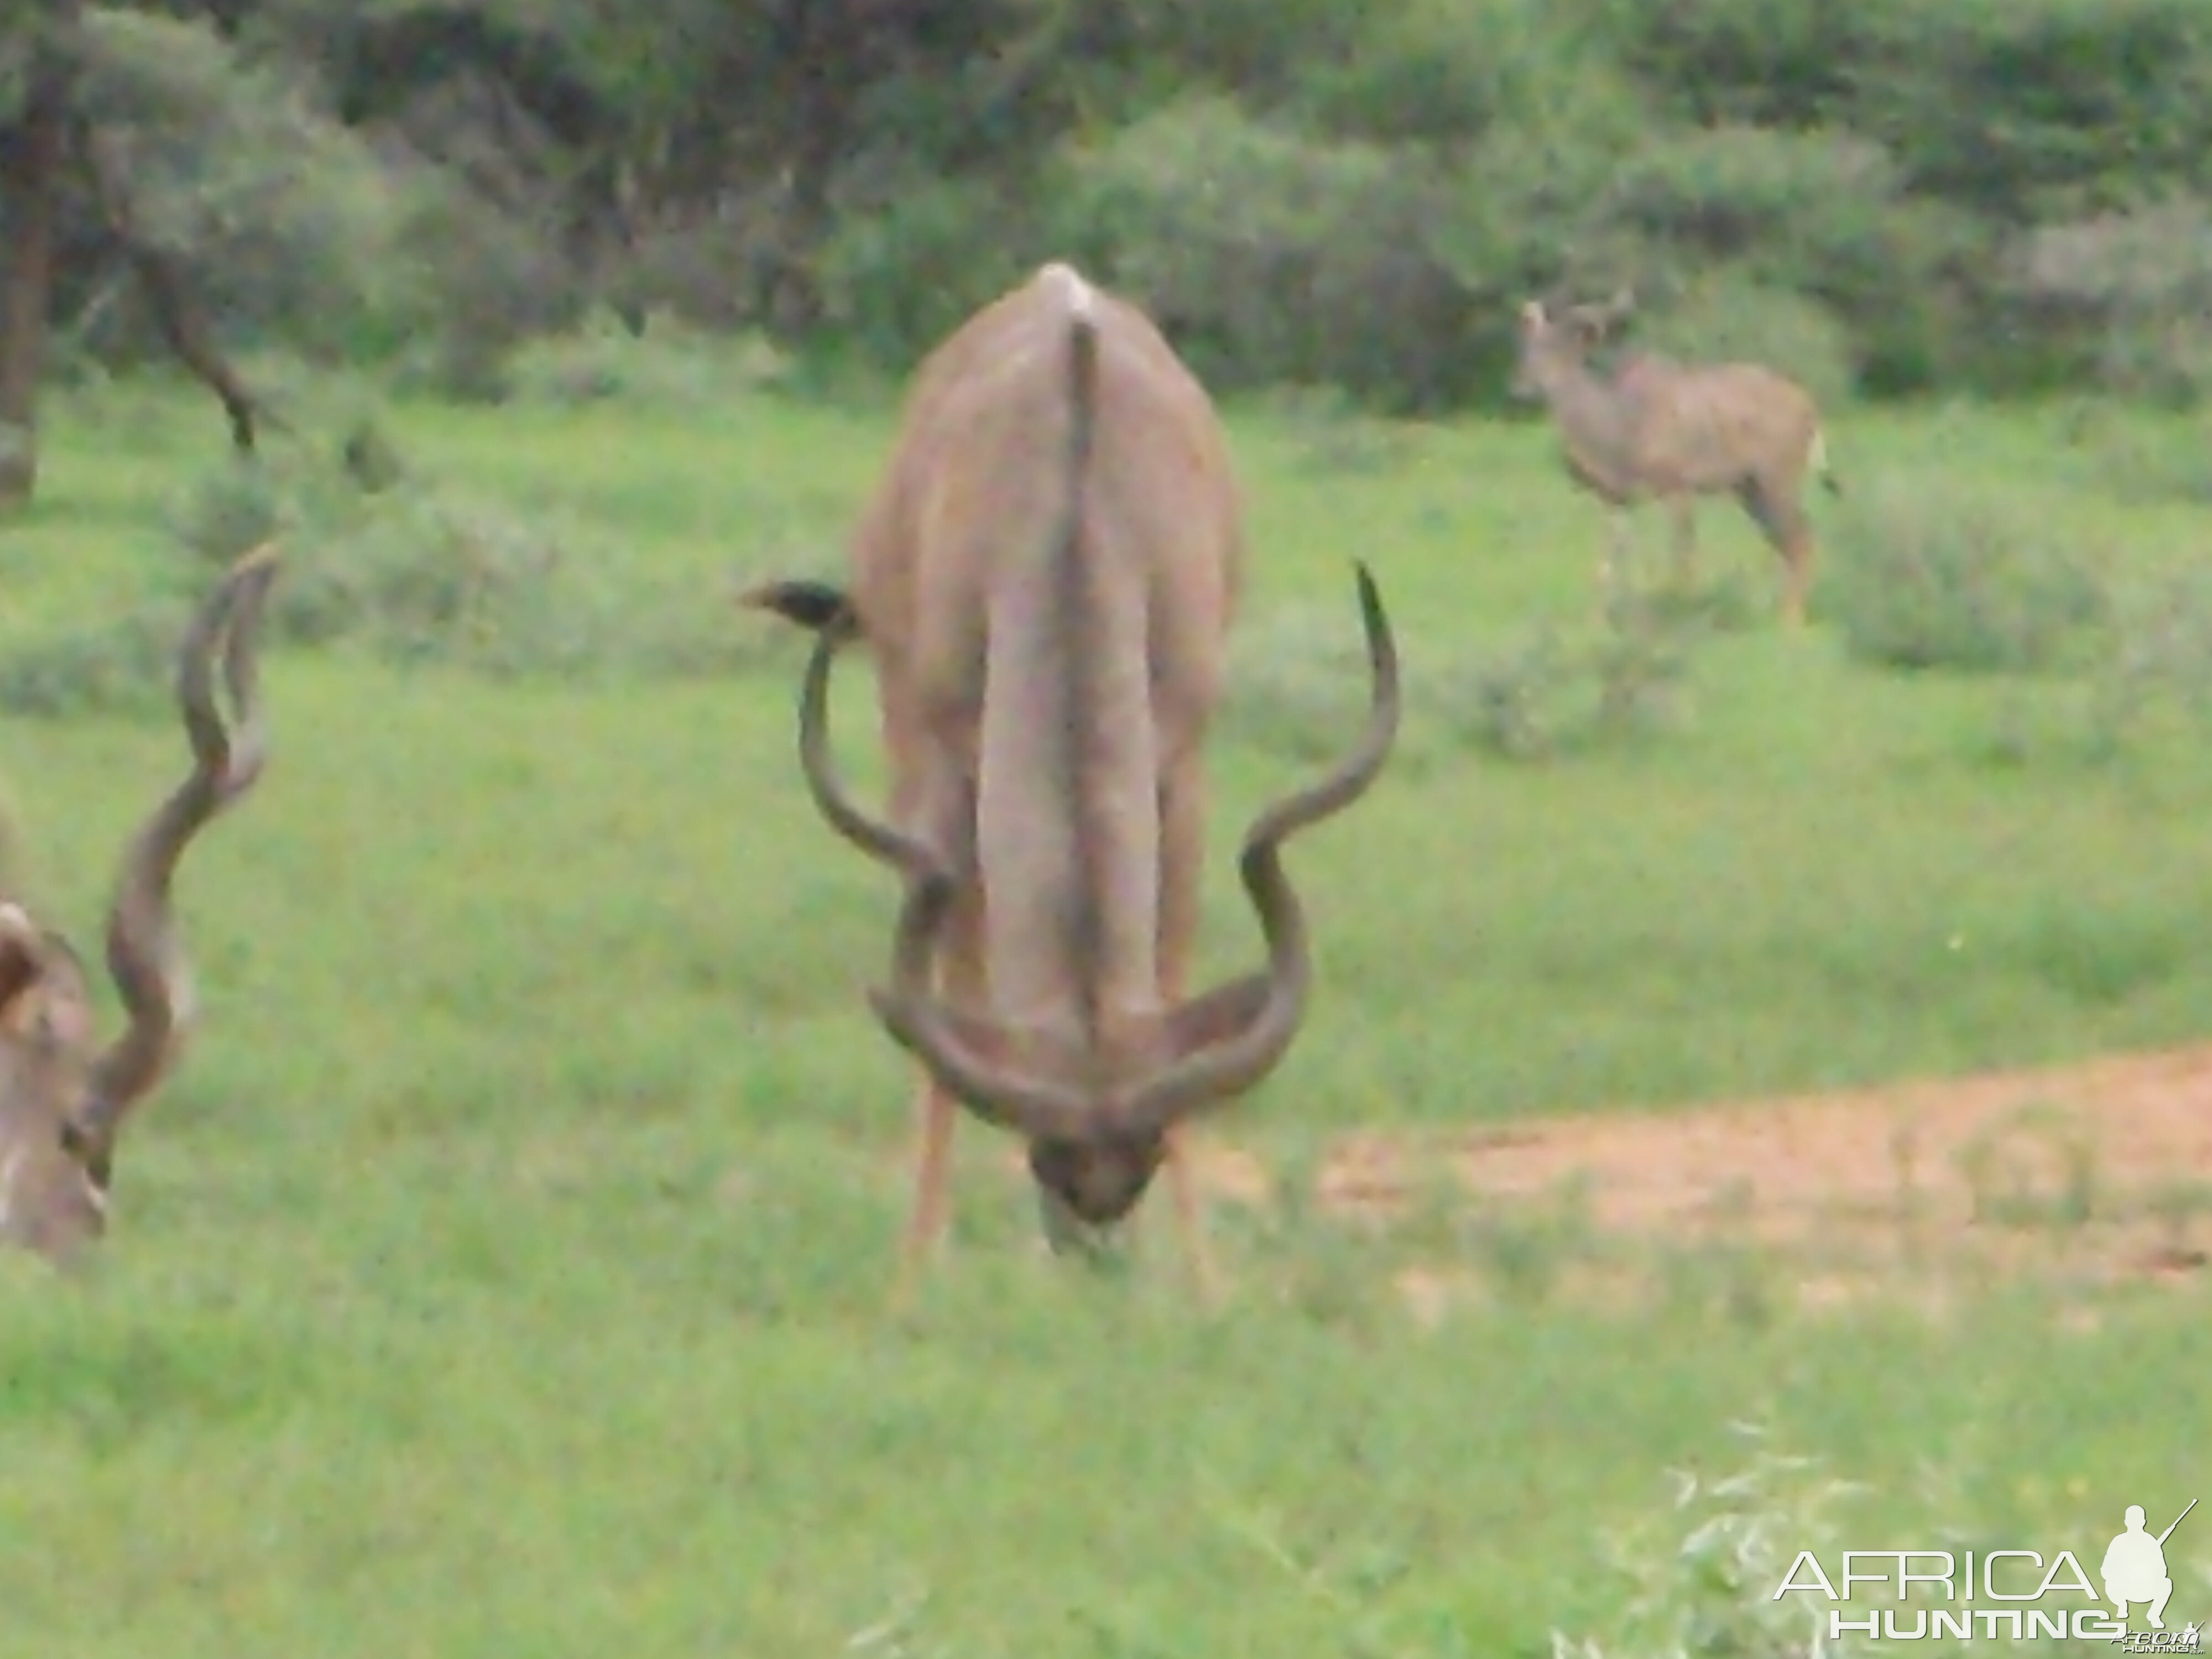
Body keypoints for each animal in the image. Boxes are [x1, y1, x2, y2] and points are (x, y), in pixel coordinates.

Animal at [743, 263, 1398, 1301]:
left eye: (1151, 1154)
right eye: (1045, 1155)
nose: (1089, 1256)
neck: (1076, 499)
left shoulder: (1182, 770)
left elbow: (1170, 969)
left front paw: (1205, 1282)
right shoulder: (942, 779)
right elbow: (948, 990)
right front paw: (912, 1279)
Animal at [1513, 290, 1840, 628]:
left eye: (1558, 349)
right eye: (1527, 349)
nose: (1522, 390)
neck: (1620, 432)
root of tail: (1810, 411)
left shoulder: (1677, 484)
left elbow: (1683, 558)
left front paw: (1682, 614)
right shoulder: (1617, 499)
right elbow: (1606, 563)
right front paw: (1597, 624)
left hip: (1778, 477)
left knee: (1801, 538)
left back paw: (1790, 620)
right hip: (1750, 488)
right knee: (1786, 541)